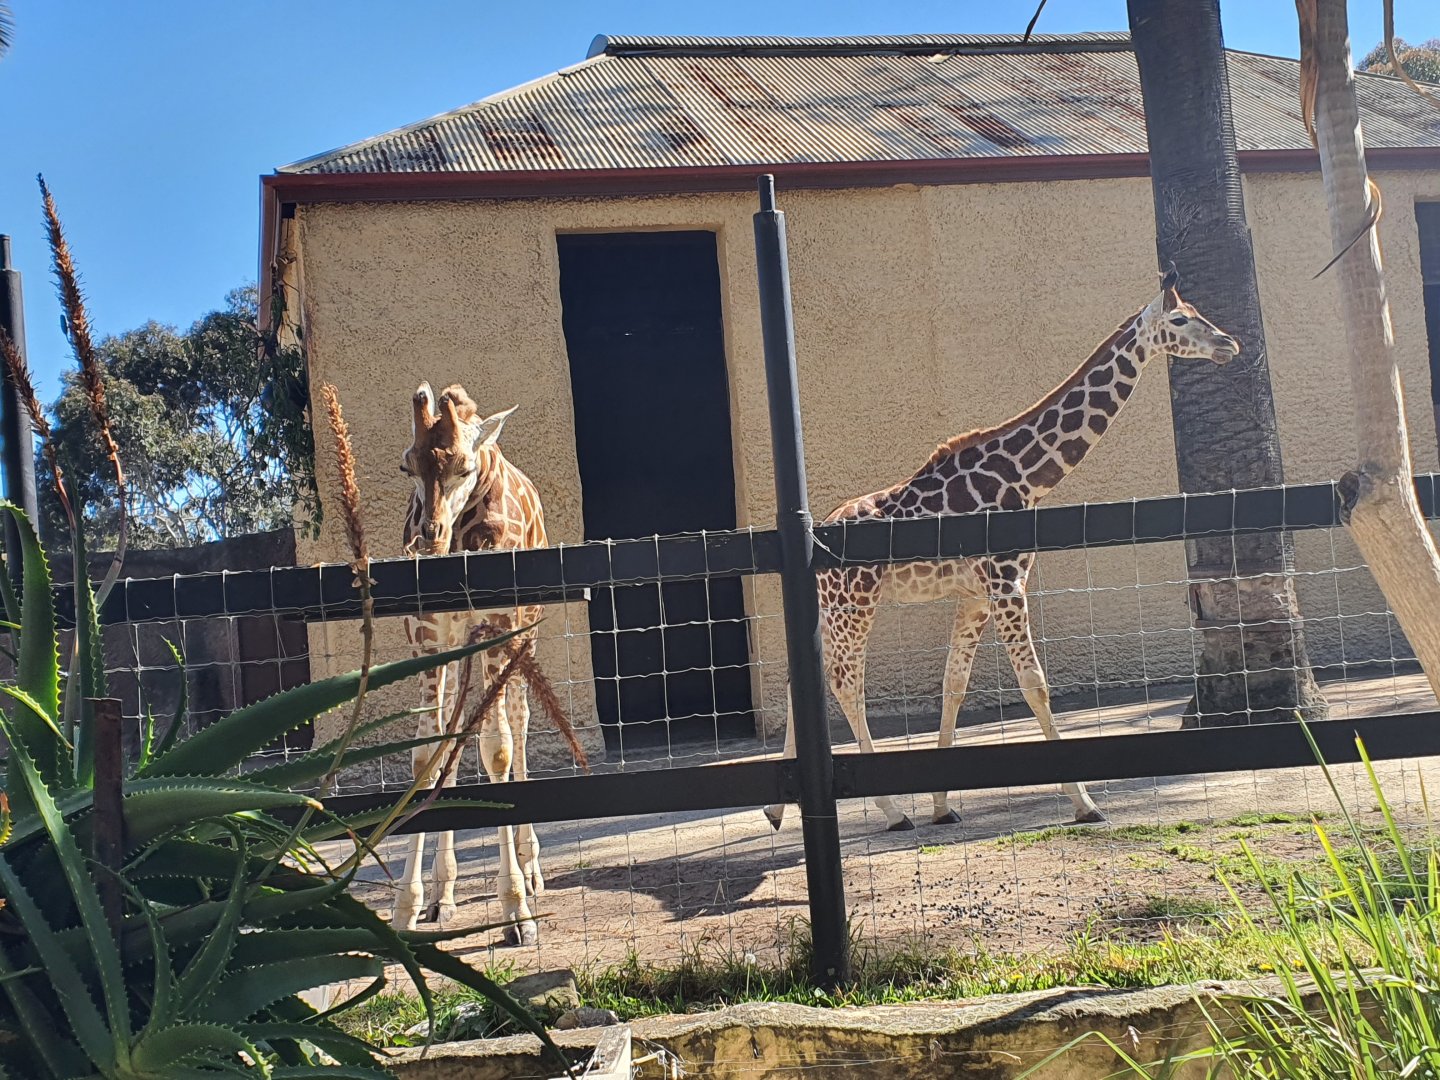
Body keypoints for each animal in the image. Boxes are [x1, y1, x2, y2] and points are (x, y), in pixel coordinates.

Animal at [395, 382, 565, 945]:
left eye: (465, 467)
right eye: (407, 466)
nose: (428, 538)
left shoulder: (496, 625)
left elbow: (498, 749)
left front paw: (516, 910)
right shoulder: (430, 637)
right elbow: (428, 754)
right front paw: (409, 906)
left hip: (524, 633)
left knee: (519, 720)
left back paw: (532, 873)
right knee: (460, 734)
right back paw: (443, 896)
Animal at [763, 272, 1239, 833]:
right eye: (1181, 319)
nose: (1229, 344)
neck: (1025, 478)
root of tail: (817, 534)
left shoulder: (976, 593)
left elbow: (955, 684)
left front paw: (942, 804)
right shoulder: (1006, 581)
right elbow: (1034, 683)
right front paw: (1084, 802)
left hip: (830, 606)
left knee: (803, 680)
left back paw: (777, 808)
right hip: (855, 603)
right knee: (845, 683)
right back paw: (892, 811)